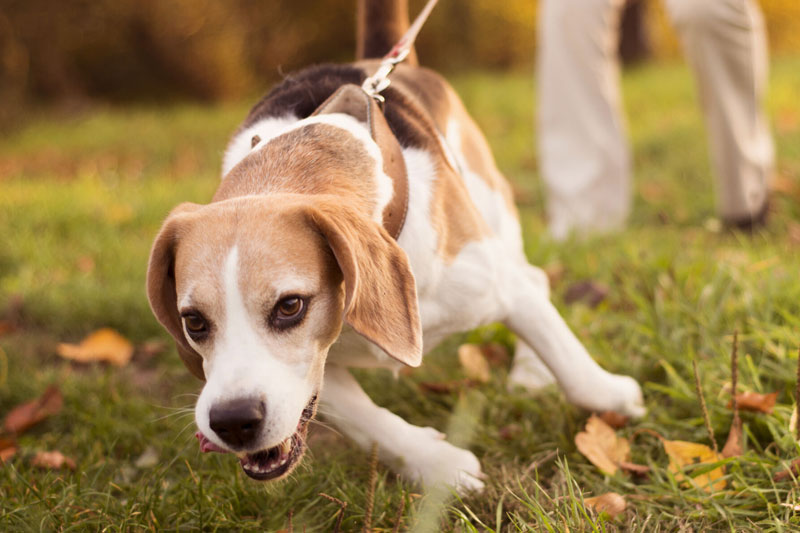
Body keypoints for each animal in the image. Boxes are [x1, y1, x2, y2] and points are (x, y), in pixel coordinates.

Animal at [145, 0, 644, 494]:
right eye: (193, 322)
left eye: (290, 306)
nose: (232, 421)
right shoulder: (319, 369)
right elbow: (365, 421)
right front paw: (437, 465)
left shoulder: (497, 285)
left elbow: (574, 369)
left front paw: (616, 398)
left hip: (494, 215)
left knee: (535, 277)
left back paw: (531, 371)